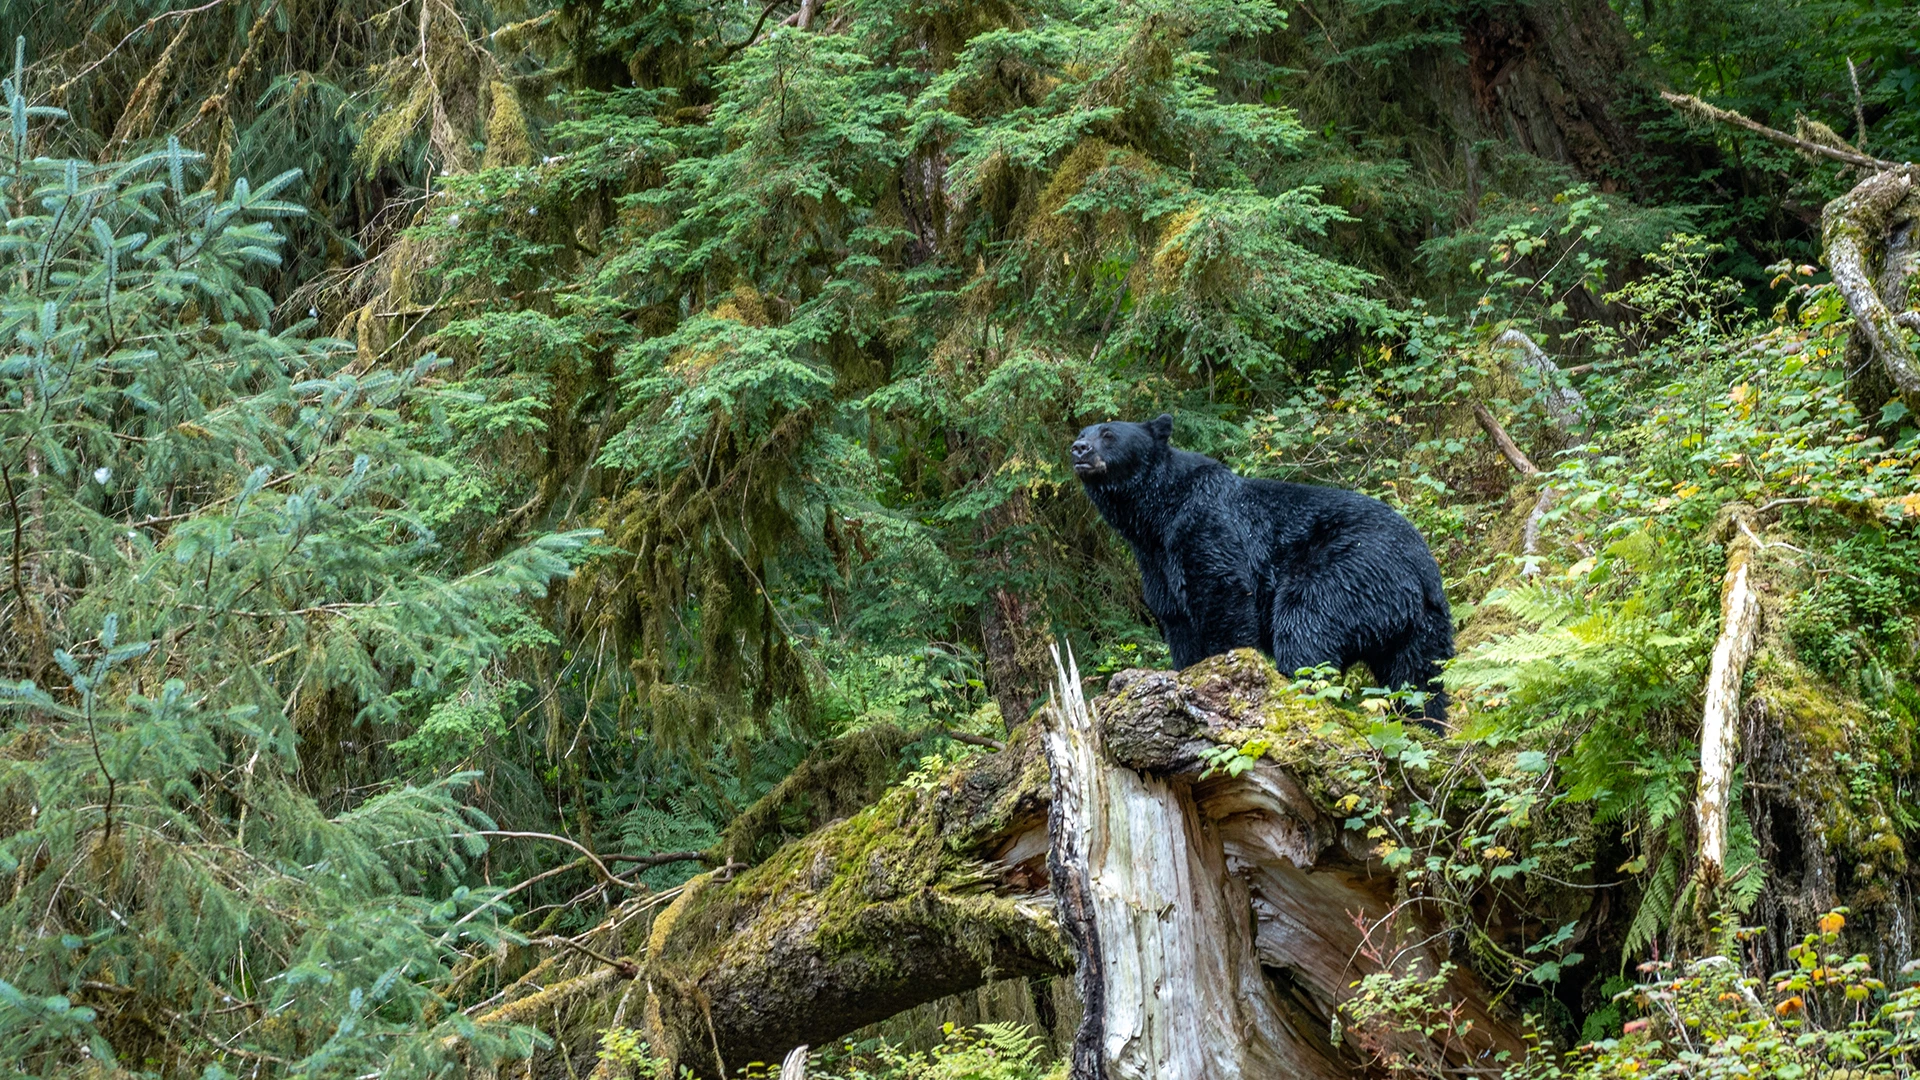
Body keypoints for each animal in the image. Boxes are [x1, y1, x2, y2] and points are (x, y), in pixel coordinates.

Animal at [1071, 413, 1454, 727]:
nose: (1078, 449)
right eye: (1082, 432)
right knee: (1419, 677)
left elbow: (1224, 598)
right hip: (1422, 624)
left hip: (1347, 571)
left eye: (1109, 434)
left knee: (1305, 629)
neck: (1159, 516)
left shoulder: (1206, 529)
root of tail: (1422, 570)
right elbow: (1177, 620)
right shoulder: (1156, 563)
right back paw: (1427, 725)